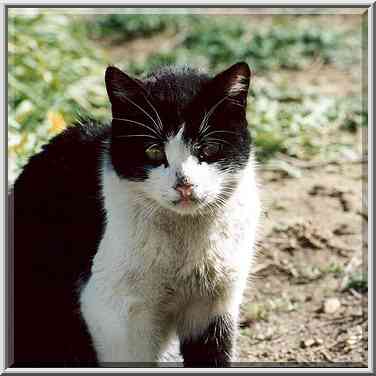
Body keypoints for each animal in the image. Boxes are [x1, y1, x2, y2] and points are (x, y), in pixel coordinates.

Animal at [11, 62, 262, 368]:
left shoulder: (214, 306)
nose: (184, 184)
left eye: (209, 148)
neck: (184, 243)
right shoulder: (112, 311)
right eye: (153, 151)